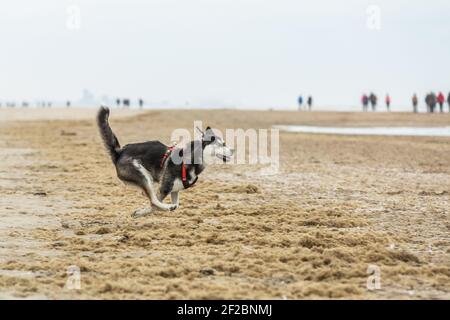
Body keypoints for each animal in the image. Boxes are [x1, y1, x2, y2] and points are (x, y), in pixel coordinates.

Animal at [96, 106, 234, 216]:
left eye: (224, 143)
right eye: (221, 145)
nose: (233, 150)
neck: (191, 159)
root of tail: (119, 152)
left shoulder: (175, 190)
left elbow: (176, 204)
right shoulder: (165, 187)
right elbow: (154, 205)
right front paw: (142, 212)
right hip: (142, 175)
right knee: (153, 199)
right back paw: (166, 207)